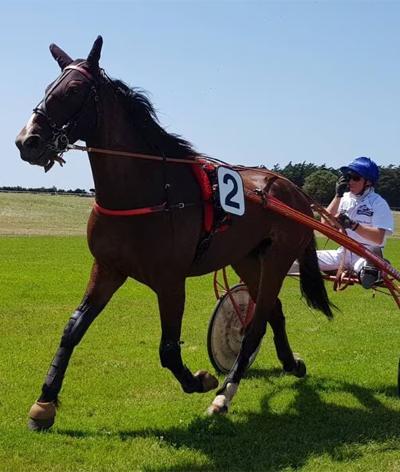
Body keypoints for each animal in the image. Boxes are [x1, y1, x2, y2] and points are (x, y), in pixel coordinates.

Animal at [15, 35, 332, 430]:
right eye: (48, 88)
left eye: (73, 90)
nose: (27, 141)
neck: (147, 189)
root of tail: (295, 191)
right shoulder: (107, 268)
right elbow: (72, 329)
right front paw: (44, 402)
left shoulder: (170, 280)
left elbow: (168, 349)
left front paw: (201, 380)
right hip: (246, 258)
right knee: (272, 310)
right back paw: (290, 363)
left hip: (277, 259)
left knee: (257, 324)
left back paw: (224, 394)